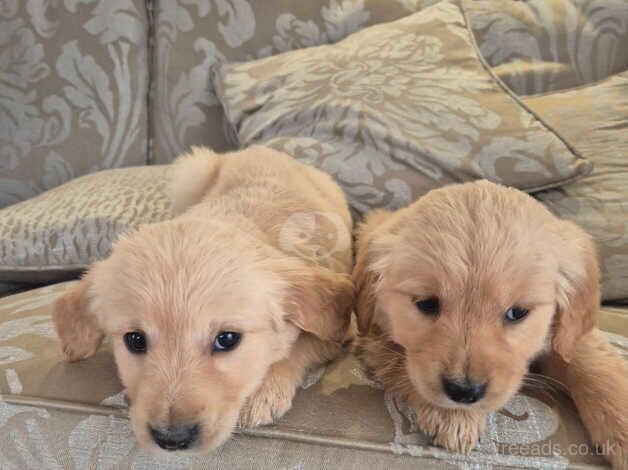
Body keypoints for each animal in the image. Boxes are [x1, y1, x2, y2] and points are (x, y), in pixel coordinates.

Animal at [50, 148, 354, 456]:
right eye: (135, 340)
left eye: (228, 339)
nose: (172, 439)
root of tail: (263, 149)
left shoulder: (337, 331)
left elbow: (300, 346)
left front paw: (264, 391)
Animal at [356, 181, 624, 470]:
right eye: (426, 304)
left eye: (517, 312)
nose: (464, 392)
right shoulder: (374, 333)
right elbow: (400, 362)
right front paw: (454, 417)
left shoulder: (568, 334)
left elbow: (592, 364)